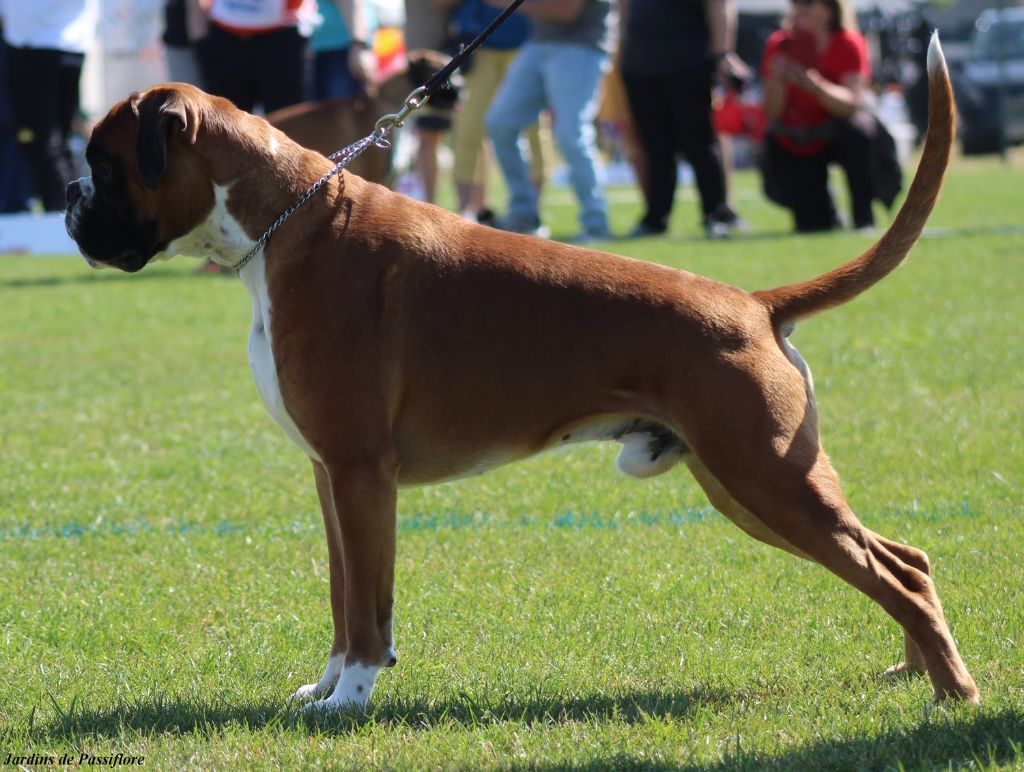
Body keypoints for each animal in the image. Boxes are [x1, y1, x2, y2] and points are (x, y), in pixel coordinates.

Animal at [64, 37, 974, 708]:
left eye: (105, 165)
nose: (69, 198)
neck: (289, 221)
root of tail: (754, 303)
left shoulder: (361, 474)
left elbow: (367, 608)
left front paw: (351, 699)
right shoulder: (330, 476)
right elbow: (340, 596)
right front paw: (323, 690)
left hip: (768, 479)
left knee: (895, 574)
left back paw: (954, 693)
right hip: (748, 485)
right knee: (904, 560)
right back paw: (912, 672)